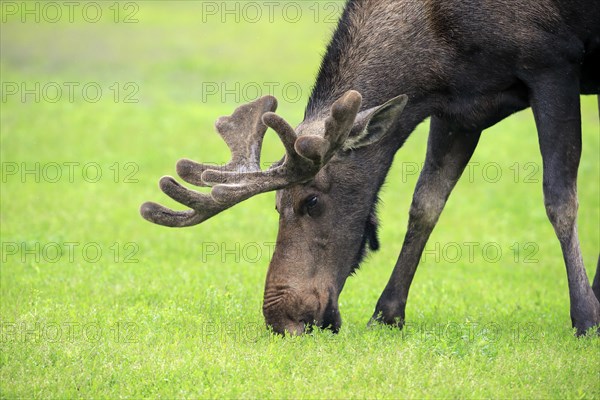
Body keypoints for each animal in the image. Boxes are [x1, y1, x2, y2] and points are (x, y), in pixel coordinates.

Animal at [142, 0, 600, 334]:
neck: (439, 51)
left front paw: (585, 317)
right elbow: (426, 203)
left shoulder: (552, 64)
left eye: (311, 201)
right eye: (276, 206)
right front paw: (388, 312)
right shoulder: (461, 107)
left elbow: (560, 199)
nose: (279, 319)